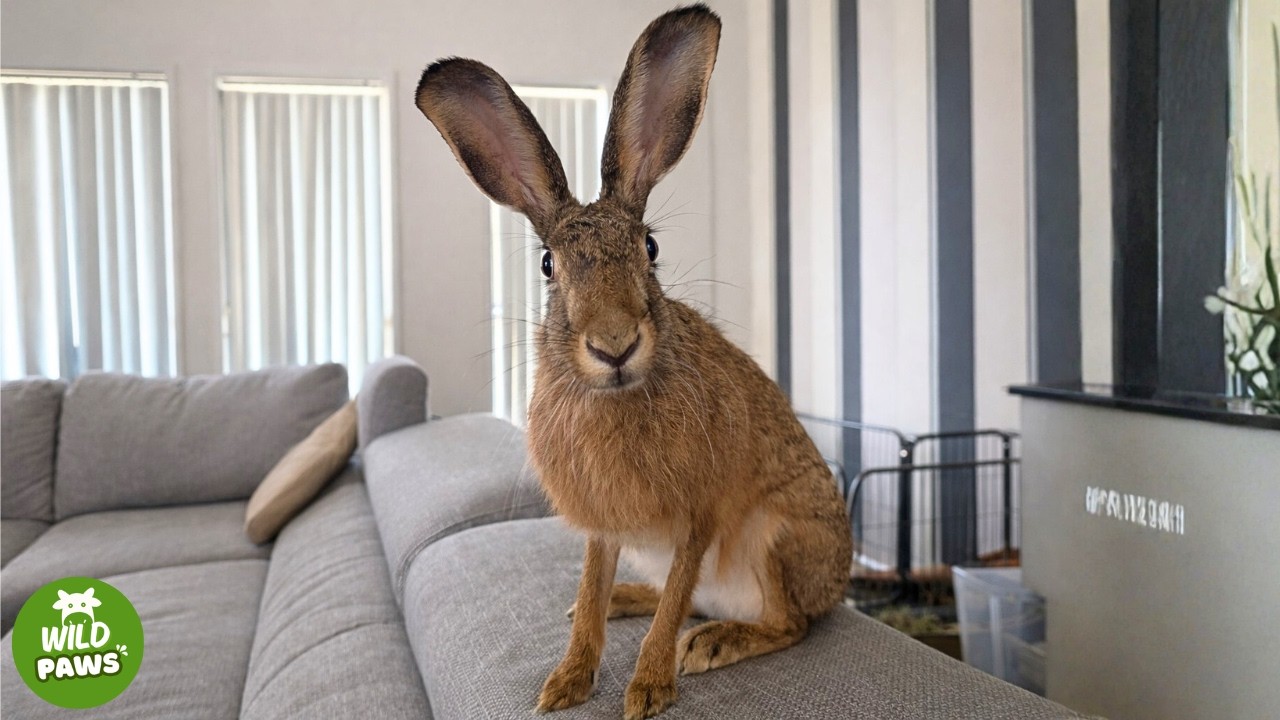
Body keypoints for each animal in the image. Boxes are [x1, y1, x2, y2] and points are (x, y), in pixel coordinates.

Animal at [414, 4, 850, 719]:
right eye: (548, 266)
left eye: (650, 248)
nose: (613, 344)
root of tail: (837, 584)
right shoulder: (604, 523)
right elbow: (592, 589)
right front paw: (566, 681)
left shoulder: (697, 518)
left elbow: (676, 601)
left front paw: (647, 689)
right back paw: (631, 600)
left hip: (775, 539)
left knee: (783, 622)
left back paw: (714, 641)